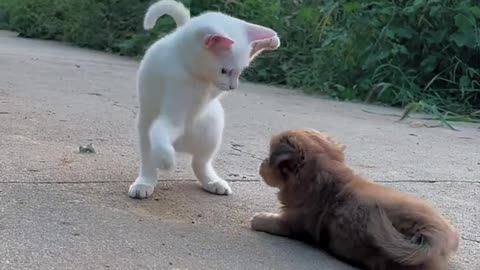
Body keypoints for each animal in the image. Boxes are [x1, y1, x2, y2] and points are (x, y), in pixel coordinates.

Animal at [128, 0, 282, 198]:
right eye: (224, 70)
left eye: (240, 72)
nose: (233, 87)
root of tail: (181, 144)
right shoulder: (173, 116)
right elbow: (160, 131)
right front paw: (166, 160)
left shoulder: (212, 89)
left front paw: (271, 40)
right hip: (146, 133)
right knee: (149, 162)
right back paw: (144, 183)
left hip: (212, 131)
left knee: (200, 163)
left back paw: (212, 182)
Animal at [251, 129, 458, 270]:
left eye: (269, 158)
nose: (261, 163)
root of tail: (435, 235)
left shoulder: (294, 223)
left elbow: (274, 222)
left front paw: (259, 219)